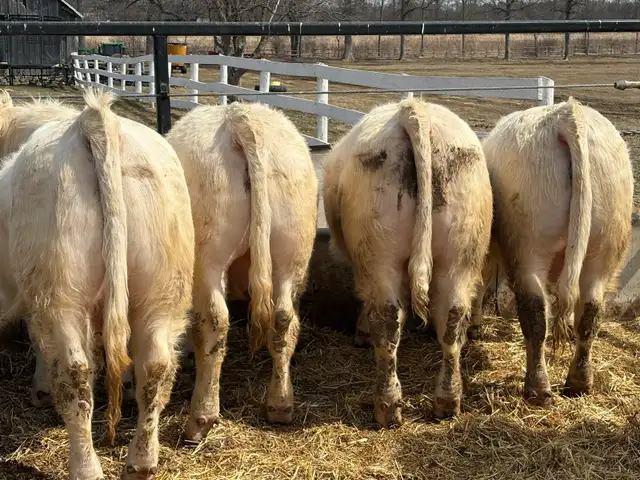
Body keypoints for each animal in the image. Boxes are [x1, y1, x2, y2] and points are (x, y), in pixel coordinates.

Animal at [0, 89, 195, 480]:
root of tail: (93, 121)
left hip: (59, 293)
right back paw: (140, 461)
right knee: (156, 365)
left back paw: (86, 467)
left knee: (76, 374)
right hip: (164, 289)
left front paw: (40, 391)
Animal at [166, 101, 318, 442]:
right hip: (291, 251)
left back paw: (201, 418)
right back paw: (280, 405)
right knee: (284, 319)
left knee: (214, 321)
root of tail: (239, 117)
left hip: (207, 257)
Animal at [322, 98, 493, 426]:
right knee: (452, 319)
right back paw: (447, 401)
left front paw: (362, 332)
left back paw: (386, 407)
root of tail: (413, 109)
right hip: (460, 254)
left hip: (378, 255)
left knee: (388, 321)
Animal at [478, 97, 633, 404]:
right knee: (590, 311)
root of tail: (567, 114)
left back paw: (537, 389)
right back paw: (578, 383)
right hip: (604, 248)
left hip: (528, 249)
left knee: (536, 314)